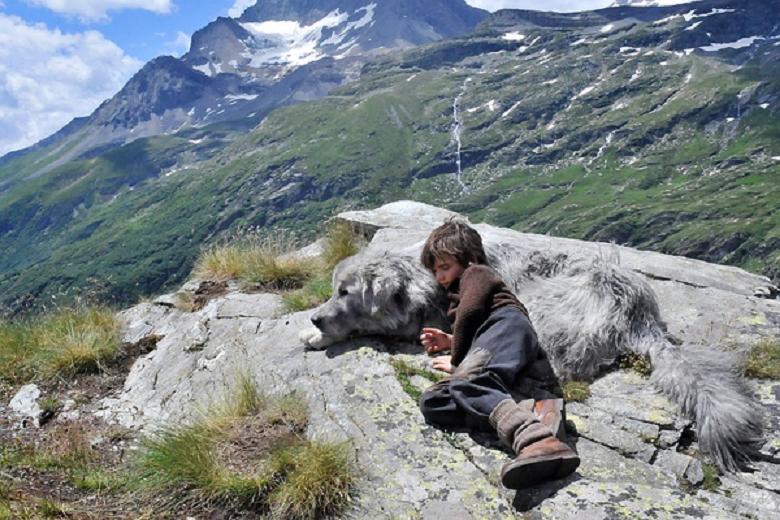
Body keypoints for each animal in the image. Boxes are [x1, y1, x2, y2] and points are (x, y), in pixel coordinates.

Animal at [298, 248, 760, 472]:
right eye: (334, 289)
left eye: (345, 292)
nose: (315, 315)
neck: (419, 281)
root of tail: (640, 309)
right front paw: (314, 331)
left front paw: (318, 333)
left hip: (538, 307)